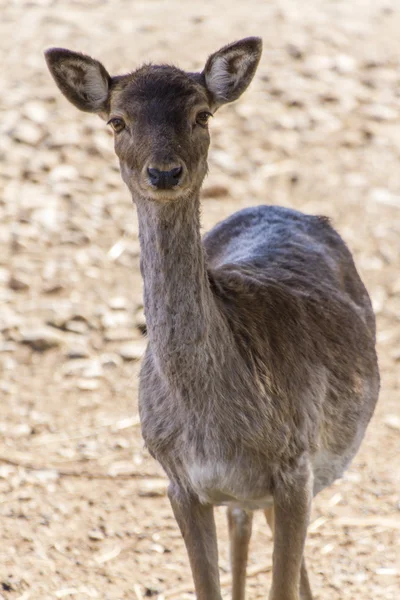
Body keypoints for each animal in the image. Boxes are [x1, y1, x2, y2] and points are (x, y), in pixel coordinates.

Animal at [45, 37, 380, 600]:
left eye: (201, 114)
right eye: (116, 120)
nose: (164, 172)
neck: (213, 427)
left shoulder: (296, 468)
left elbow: (283, 583)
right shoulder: (180, 483)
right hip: (248, 494)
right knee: (242, 523)